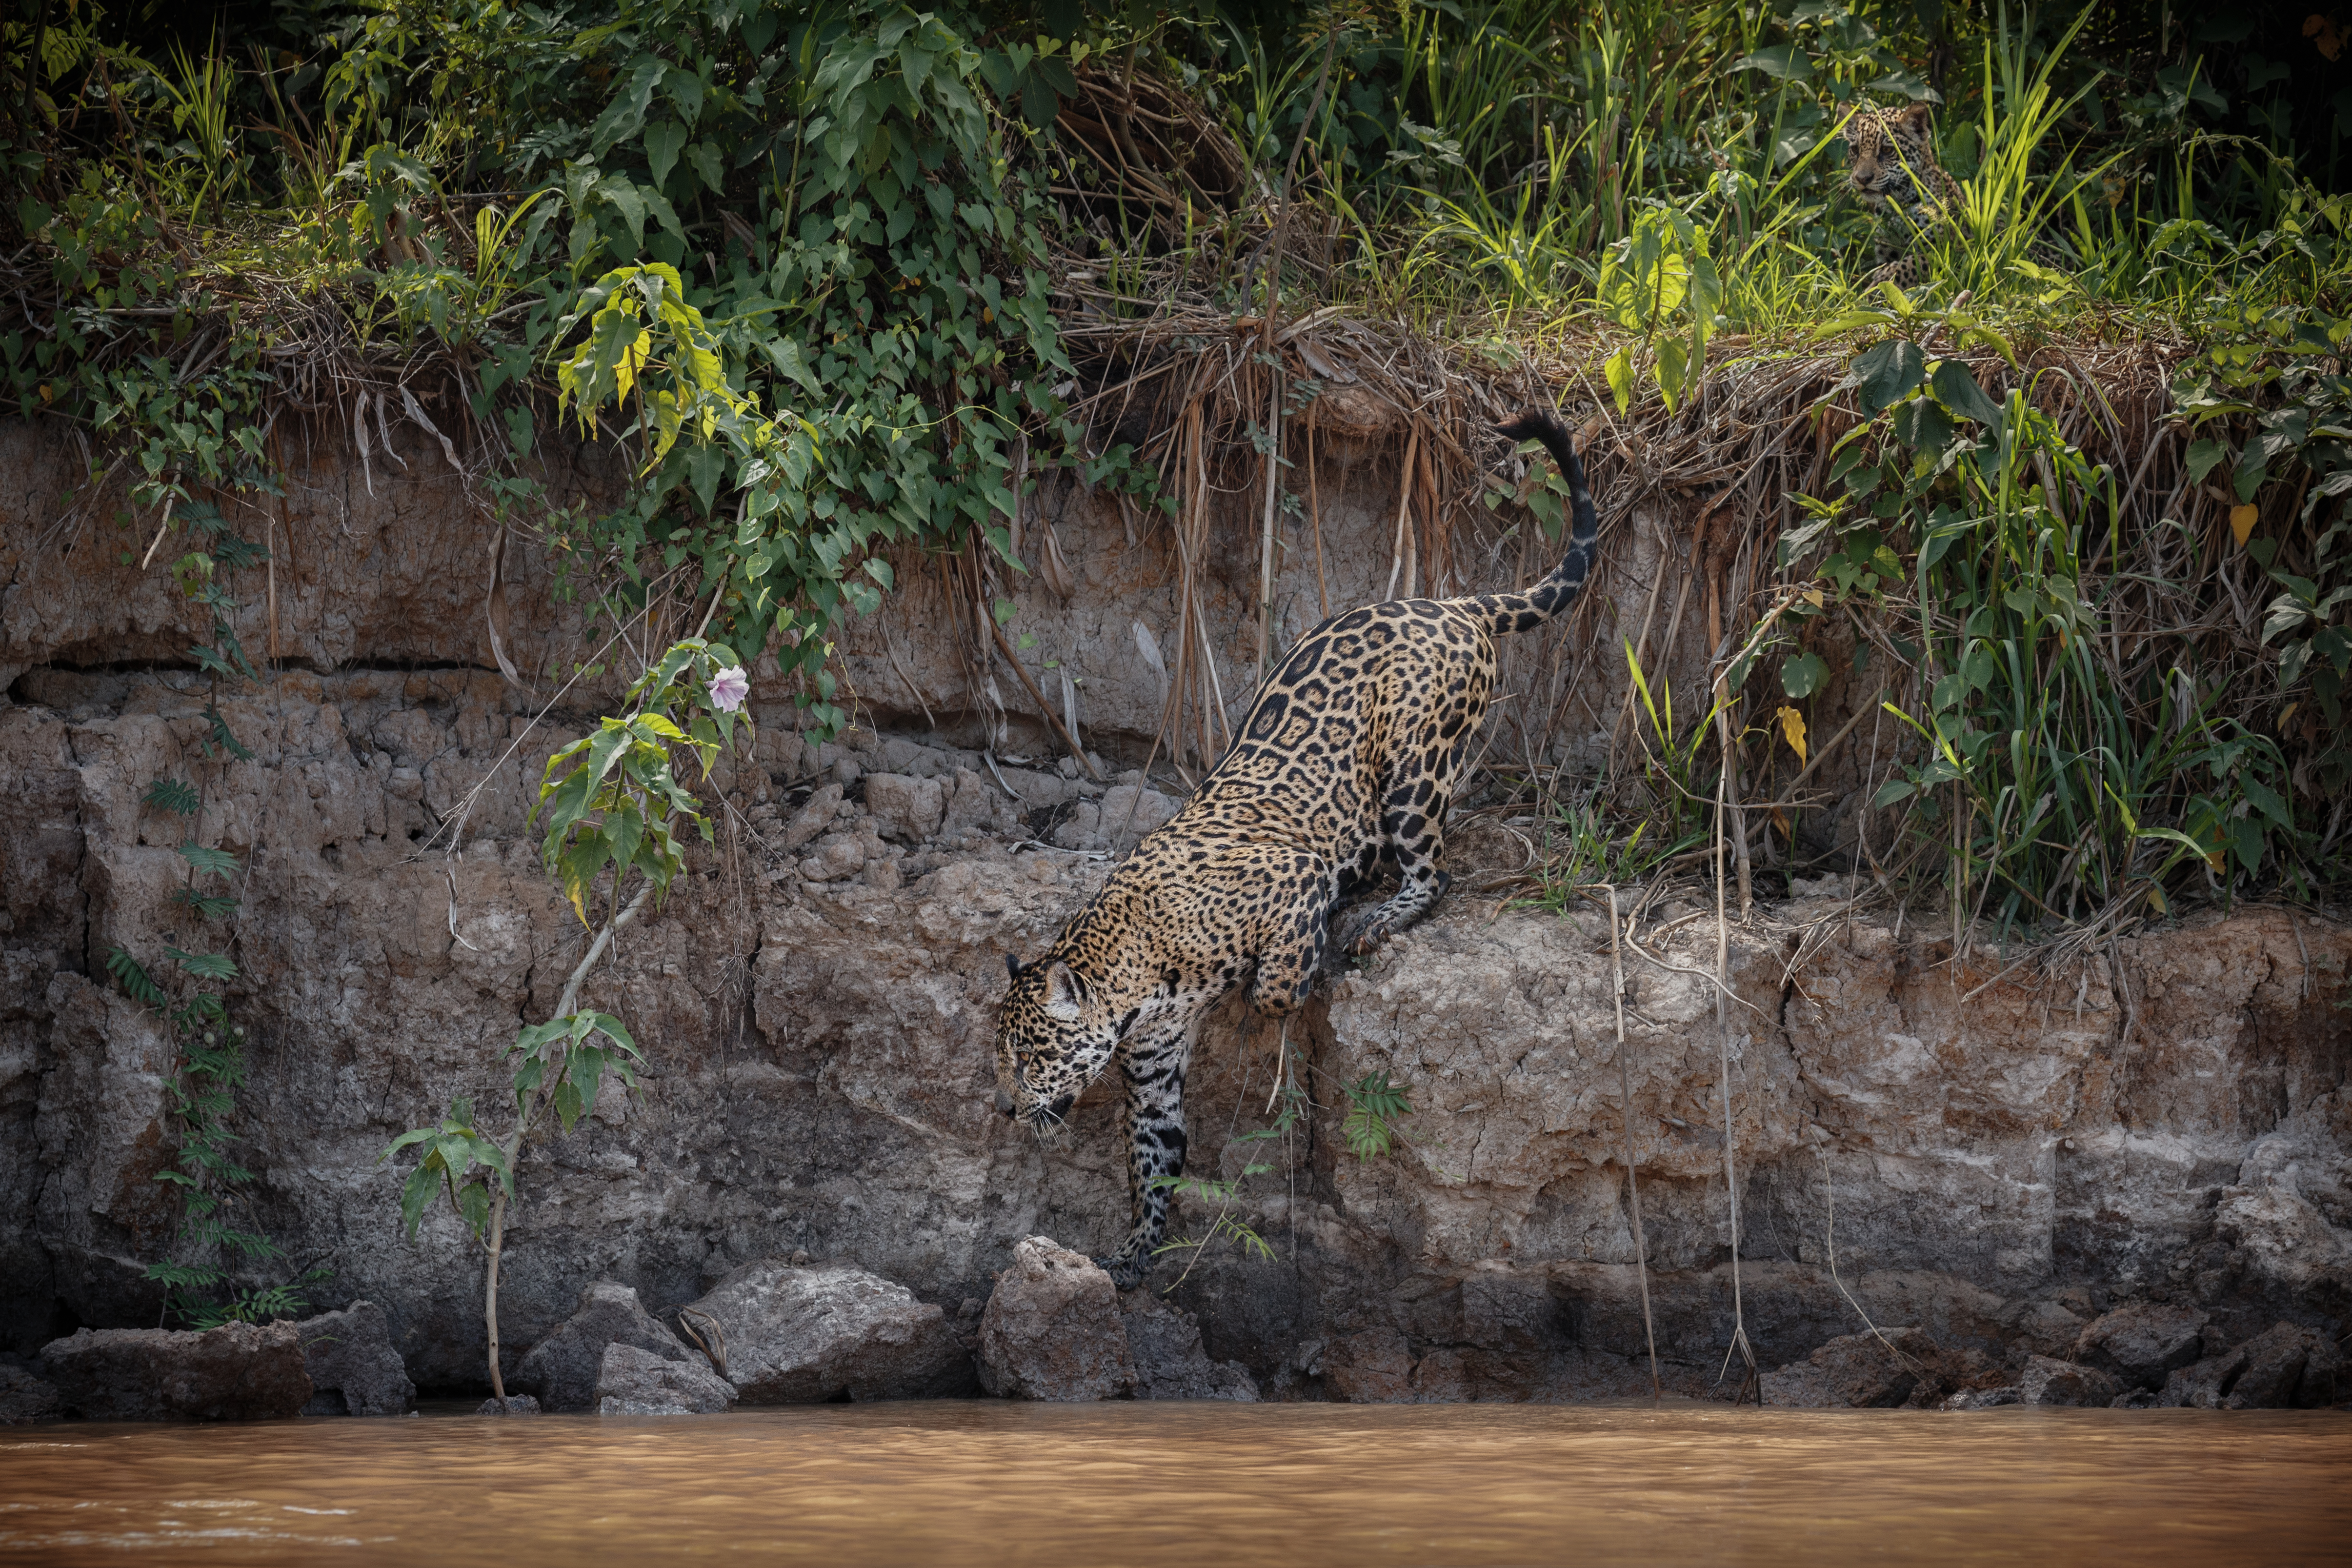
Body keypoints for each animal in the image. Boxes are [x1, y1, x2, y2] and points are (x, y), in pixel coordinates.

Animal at [992, 408, 1599, 1288]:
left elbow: (1276, 986)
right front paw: (1136, 1249)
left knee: (1435, 870)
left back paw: (1376, 917)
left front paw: (1290, 980)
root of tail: (1450, 605)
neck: (1137, 972)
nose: (1004, 1107)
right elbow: (1154, 1157)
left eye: (1031, 1051)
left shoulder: (1292, 873)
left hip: (1413, 766)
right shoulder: (1153, 1065)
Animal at [1844, 101, 2068, 288]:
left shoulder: (1948, 249)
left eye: (1887, 150)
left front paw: (1880, 284)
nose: (1862, 178)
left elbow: (1911, 264)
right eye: (1855, 150)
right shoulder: (1886, 250)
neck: (1896, 205)